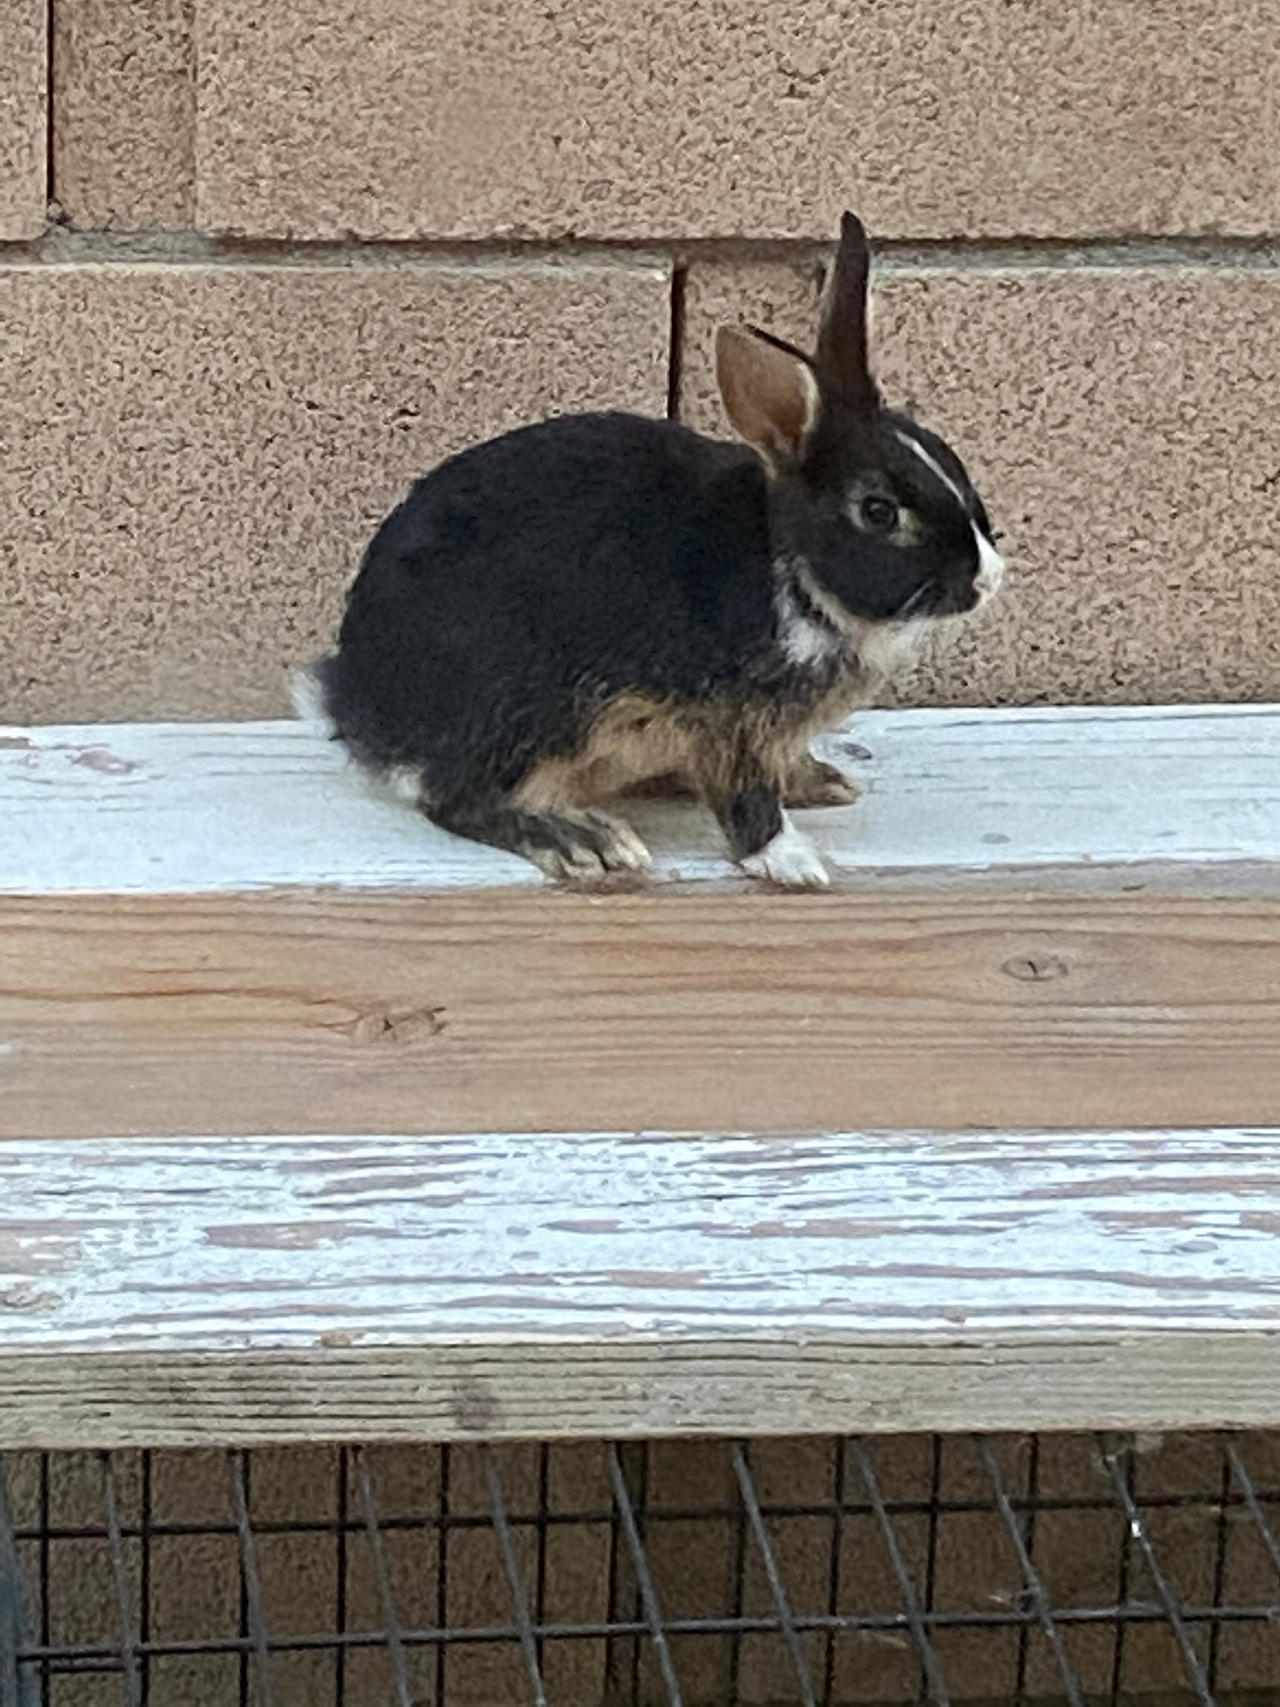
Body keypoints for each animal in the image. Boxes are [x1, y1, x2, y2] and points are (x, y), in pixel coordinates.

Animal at [298, 212, 1003, 888]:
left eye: (950, 461)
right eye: (879, 512)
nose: (989, 578)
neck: (792, 568)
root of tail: (362, 708)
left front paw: (822, 781)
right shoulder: (728, 723)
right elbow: (746, 799)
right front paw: (789, 861)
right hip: (531, 707)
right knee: (457, 799)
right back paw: (584, 841)